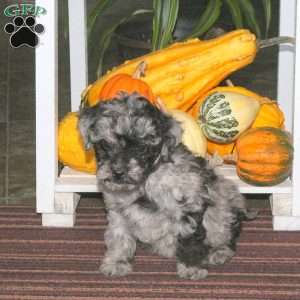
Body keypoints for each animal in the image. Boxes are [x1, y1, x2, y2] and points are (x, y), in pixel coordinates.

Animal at [78, 92, 255, 280]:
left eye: (142, 148)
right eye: (105, 144)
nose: (118, 172)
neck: (145, 181)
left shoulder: (191, 204)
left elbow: (191, 240)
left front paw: (191, 267)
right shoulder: (118, 211)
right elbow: (119, 237)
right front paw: (117, 262)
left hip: (222, 205)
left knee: (227, 234)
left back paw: (219, 252)